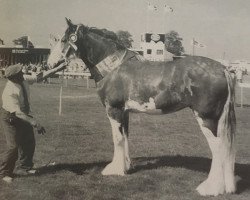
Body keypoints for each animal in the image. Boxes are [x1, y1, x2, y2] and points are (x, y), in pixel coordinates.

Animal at [47, 18, 237, 196]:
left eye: (63, 39)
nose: (49, 63)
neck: (113, 68)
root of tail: (223, 68)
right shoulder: (125, 113)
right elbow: (125, 137)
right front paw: (126, 167)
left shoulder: (114, 110)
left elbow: (117, 139)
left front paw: (114, 170)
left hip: (206, 118)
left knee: (217, 147)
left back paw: (211, 188)